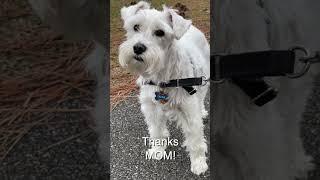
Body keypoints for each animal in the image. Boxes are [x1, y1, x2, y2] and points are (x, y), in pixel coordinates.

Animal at [117, 0, 210, 175]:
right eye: (135, 27)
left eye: (160, 32)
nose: (138, 48)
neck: (163, 77)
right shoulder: (151, 108)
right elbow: (156, 131)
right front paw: (157, 150)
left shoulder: (189, 109)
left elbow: (195, 139)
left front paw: (198, 163)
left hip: (204, 81)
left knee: (201, 99)